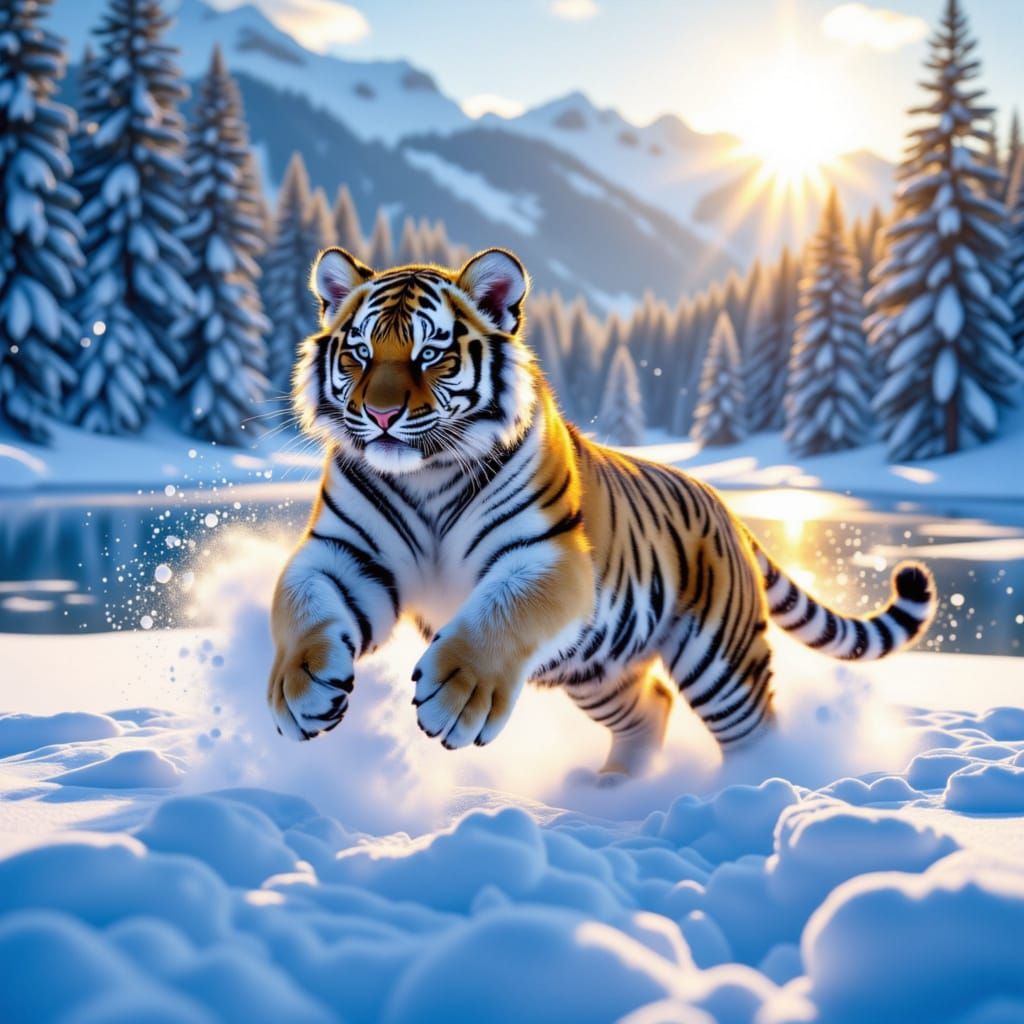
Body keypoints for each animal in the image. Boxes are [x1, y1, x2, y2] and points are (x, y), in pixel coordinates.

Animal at [267, 245, 937, 777]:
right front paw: (299, 689)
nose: (380, 415)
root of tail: (726, 505)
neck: (426, 476)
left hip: (721, 661)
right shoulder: (345, 555)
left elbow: (498, 615)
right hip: (596, 670)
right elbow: (303, 607)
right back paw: (612, 790)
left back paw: (747, 798)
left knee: (755, 733)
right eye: (357, 353)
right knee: (652, 705)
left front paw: (458, 694)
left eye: (432, 354)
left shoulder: (547, 557)